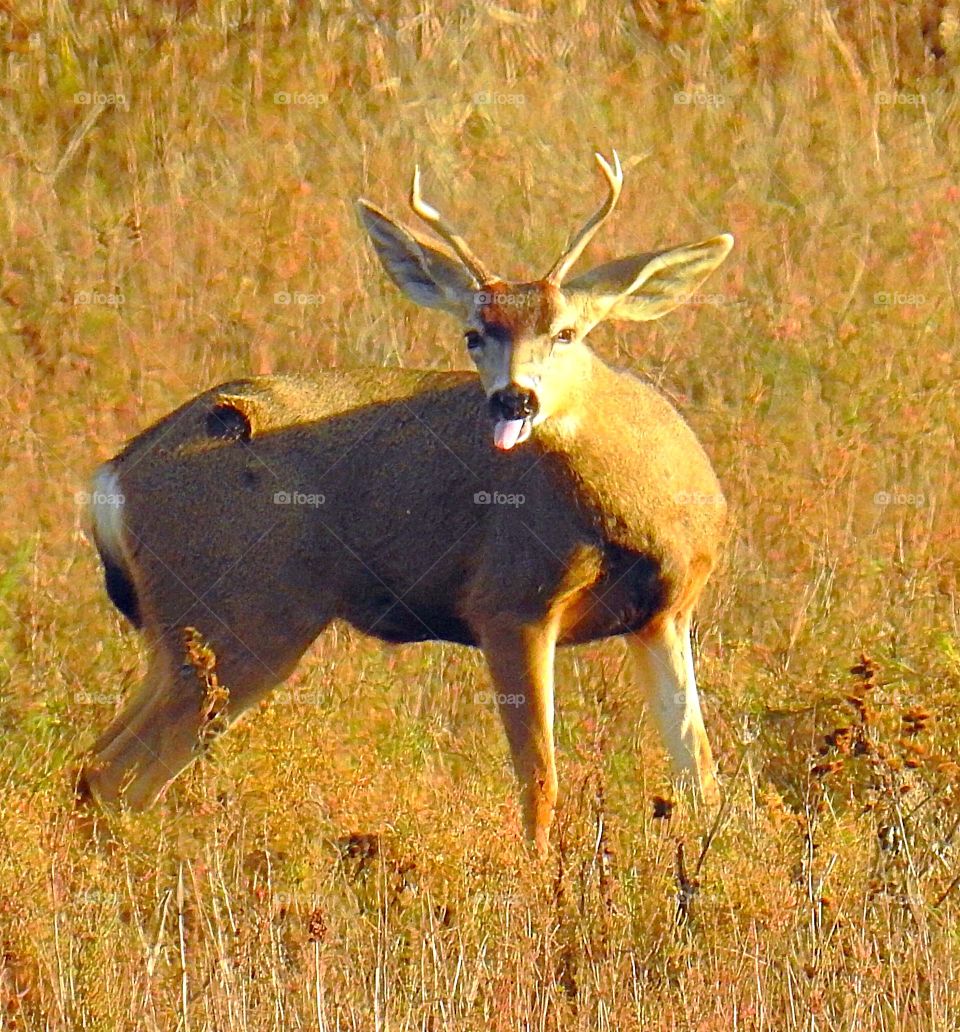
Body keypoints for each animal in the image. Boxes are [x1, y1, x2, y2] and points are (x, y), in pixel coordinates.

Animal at [78, 152, 733, 853]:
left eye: (566, 332)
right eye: (474, 334)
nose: (514, 399)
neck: (638, 517)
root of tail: (115, 475)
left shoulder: (665, 615)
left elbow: (699, 773)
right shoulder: (509, 601)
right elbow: (540, 782)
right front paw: (537, 876)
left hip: (183, 632)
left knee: (100, 765)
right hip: (239, 617)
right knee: (114, 773)